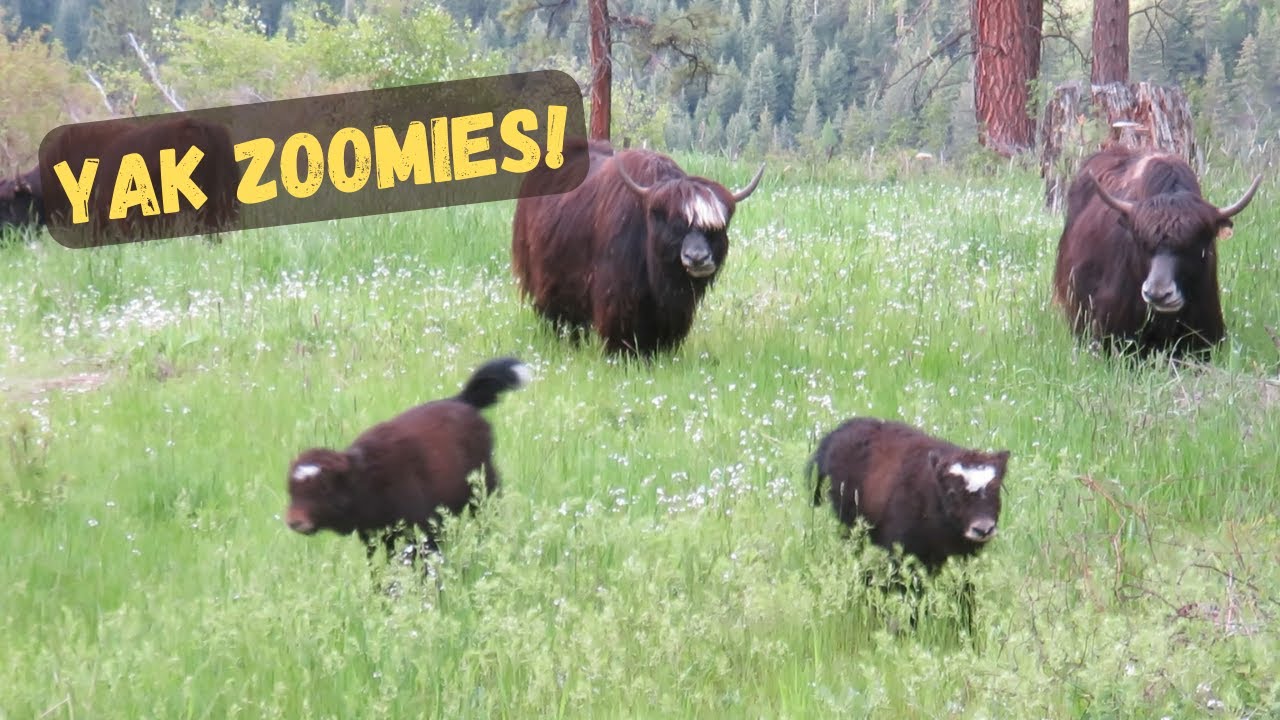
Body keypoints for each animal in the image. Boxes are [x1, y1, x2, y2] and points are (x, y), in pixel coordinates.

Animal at [284, 357, 531, 569]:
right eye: (291, 489)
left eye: (324, 487)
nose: (294, 521)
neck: (365, 477)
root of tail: (462, 400)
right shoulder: (375, 536)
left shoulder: (421, 531)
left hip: (484, 495)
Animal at [808, 416, 1011, 633]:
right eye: (952, 492)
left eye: (996, 490)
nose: (983, 528)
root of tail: (837, 434)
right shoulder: (905, 556)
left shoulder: (961, 560)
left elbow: (964, 594)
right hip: (854, 533)